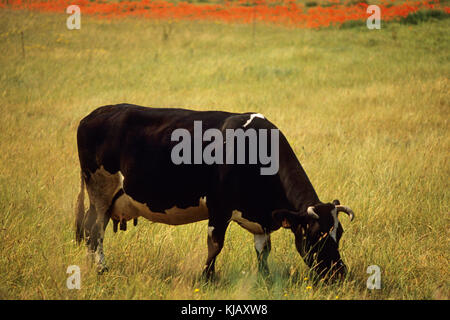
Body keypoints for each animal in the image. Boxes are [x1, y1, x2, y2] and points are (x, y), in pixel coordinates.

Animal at [74, 104, 356, 280]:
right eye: (317, 235)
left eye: (339, 233)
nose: (339, 273)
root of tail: (95, 114)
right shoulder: (219, 207)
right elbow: (215, 246)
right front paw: (207, 278)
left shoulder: (262, 218)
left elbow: (263, 252)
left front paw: (264, 278)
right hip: (100, 190)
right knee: (94, 230)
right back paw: (101, 269)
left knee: (91, 230)